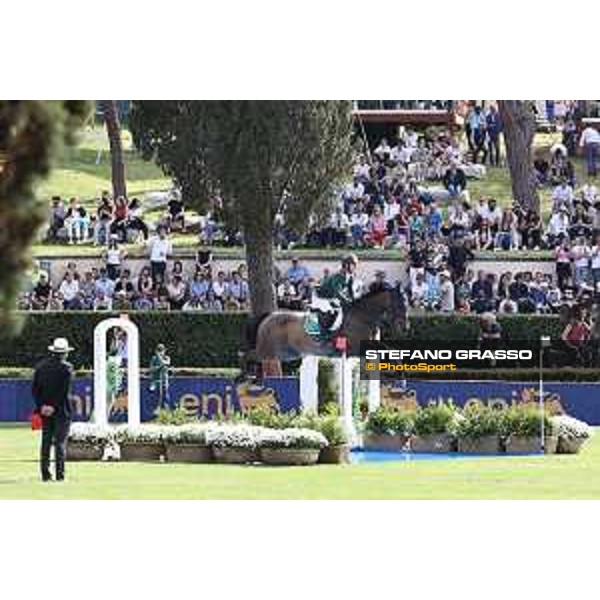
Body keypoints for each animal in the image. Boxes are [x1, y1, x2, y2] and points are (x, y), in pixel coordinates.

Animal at [244, 286, 408, 370]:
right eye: (400, 304)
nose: (405, 328)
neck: (362, 317)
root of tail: (269, 316)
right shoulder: (355, 349)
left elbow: (387, 349)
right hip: (267, 351)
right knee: (248, 355)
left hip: (286, 353)